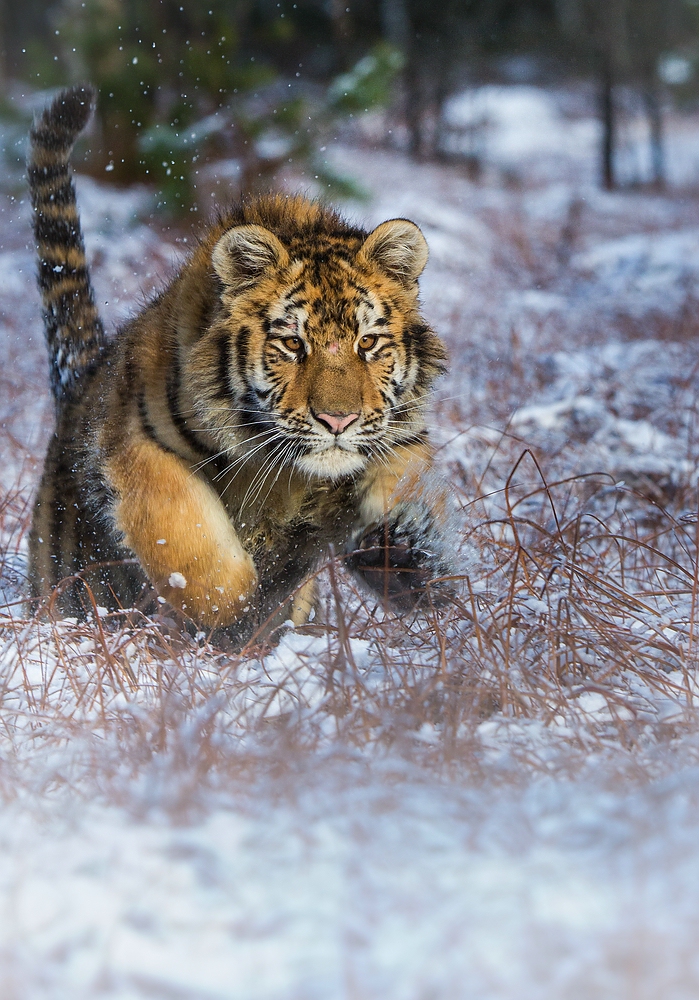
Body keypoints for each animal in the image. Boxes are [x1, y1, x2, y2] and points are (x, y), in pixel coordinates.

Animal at [26, 86, 454, 648]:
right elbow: (187, 538)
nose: (338, 421)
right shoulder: (137, 445)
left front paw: (407, 556)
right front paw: (234, 610)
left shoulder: (399, 437)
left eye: (368, 343)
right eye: (292, 344)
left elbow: (401, 481)